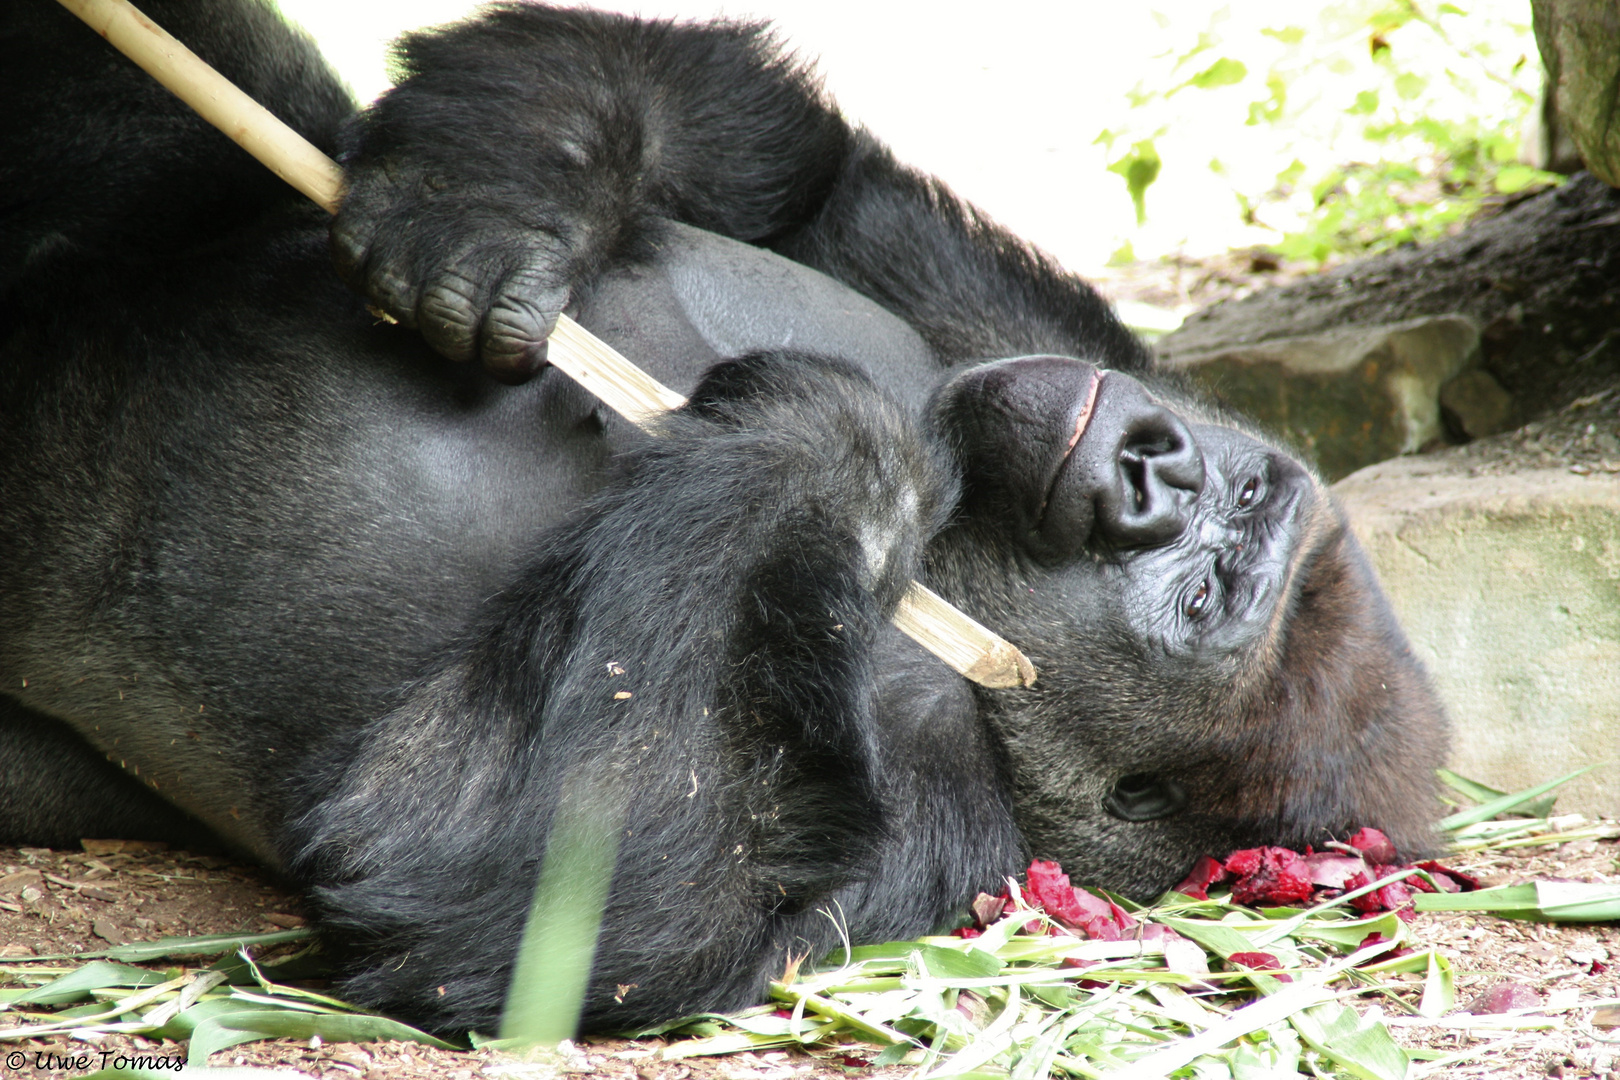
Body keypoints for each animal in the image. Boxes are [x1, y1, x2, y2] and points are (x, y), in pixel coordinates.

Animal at [0, 0, 1445, 1029]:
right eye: (1236, 509)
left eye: (1204, 601)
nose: (1154, 466)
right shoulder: (1022, 328)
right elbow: (799, 173)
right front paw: (506, 181)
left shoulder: (944, 839)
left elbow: (544, 898)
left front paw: (839, 449)